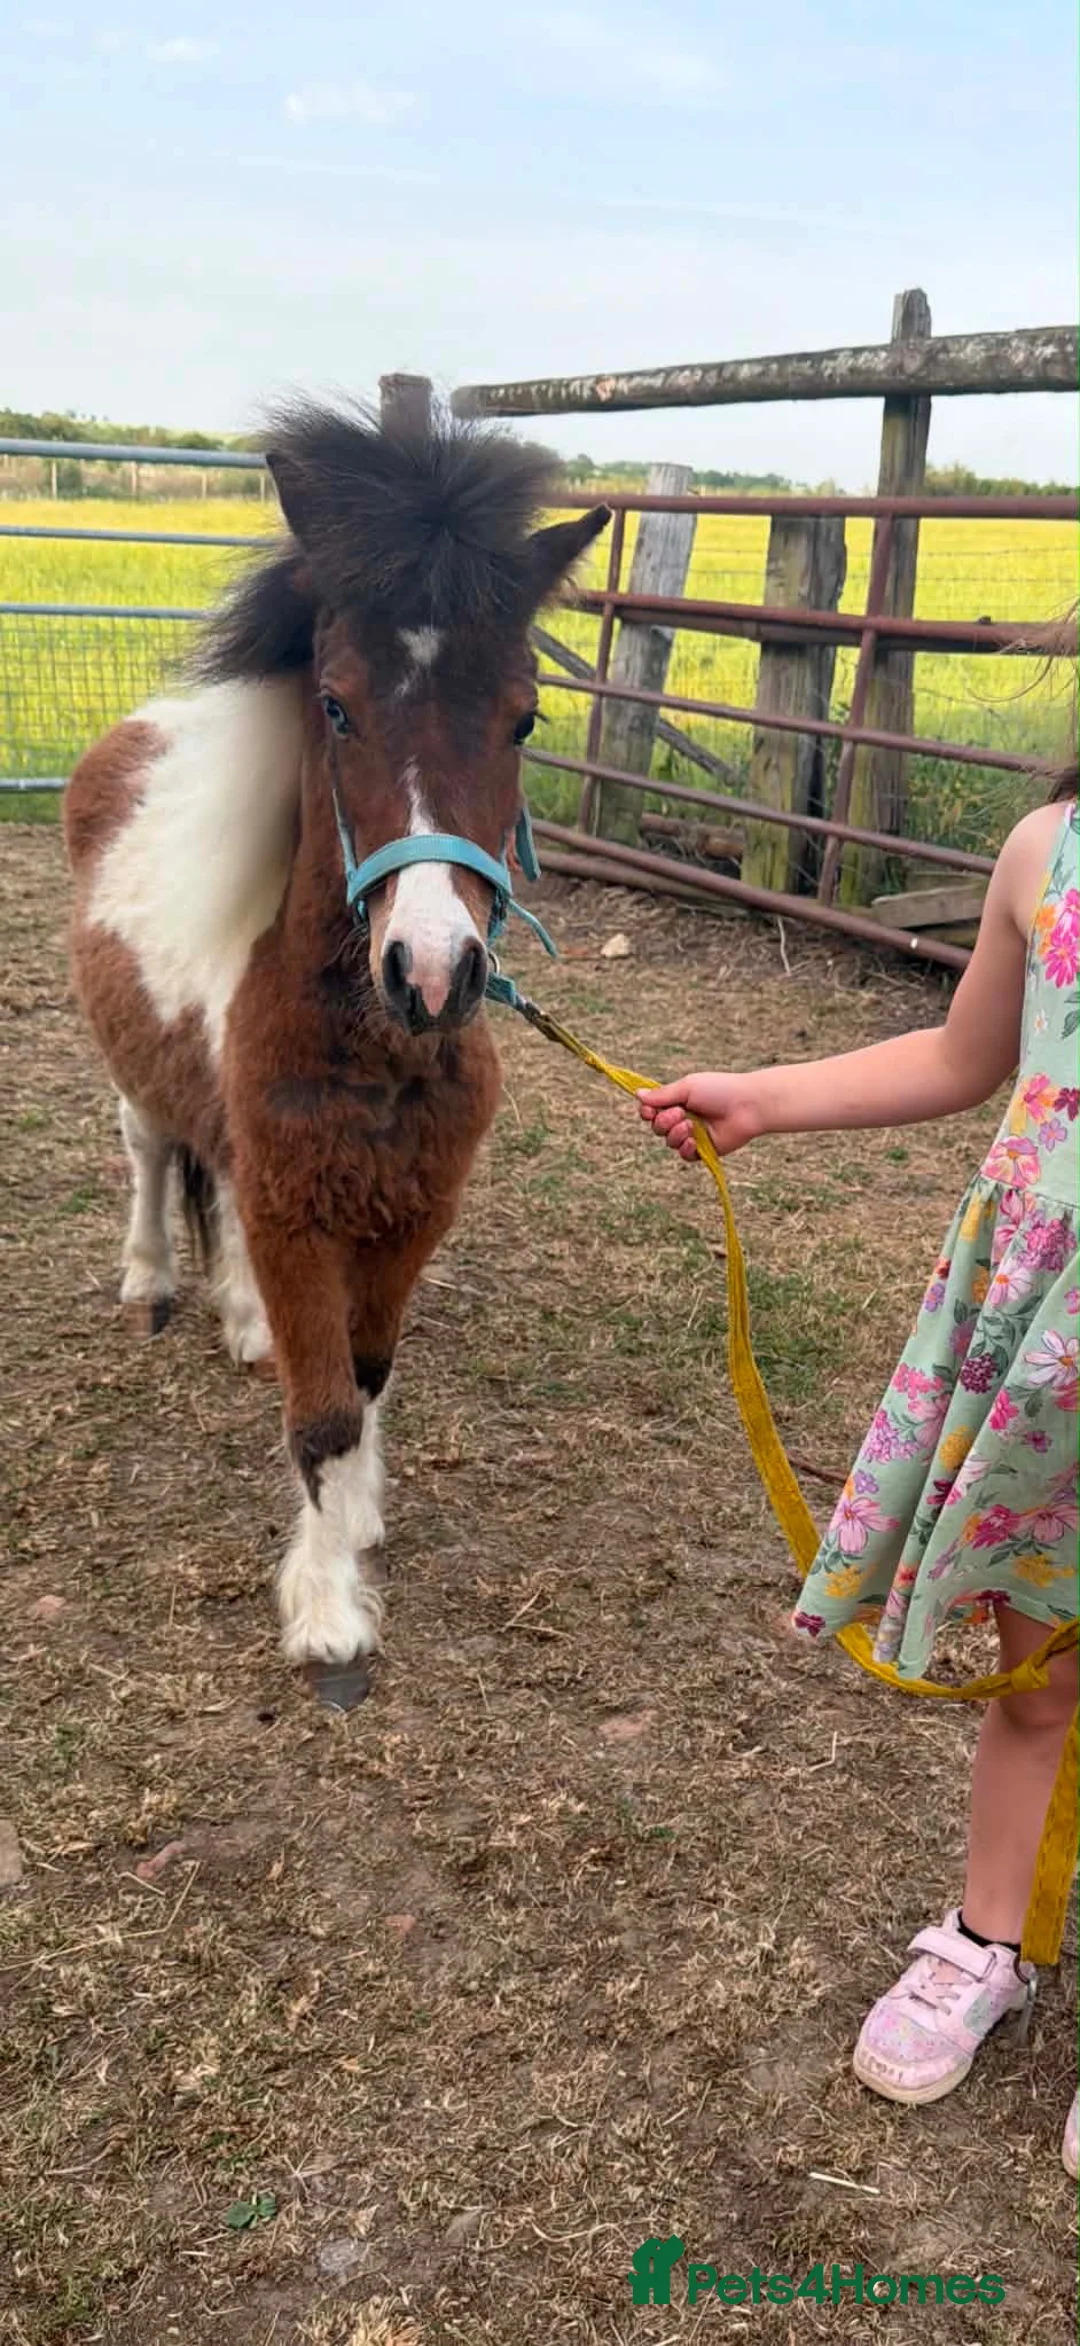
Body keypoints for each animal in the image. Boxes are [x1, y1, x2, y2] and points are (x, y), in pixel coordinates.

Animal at [64, 402, 610, 1703]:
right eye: (337, 707)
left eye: (524, 716)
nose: (433, 969)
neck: (375, 1053)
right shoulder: (294, 1207)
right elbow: (318, 1418)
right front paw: (326, 1614)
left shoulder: (409, 1211)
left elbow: (361, 1378)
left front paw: (356, 1521)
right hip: (136, 1077)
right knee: (151, 1155)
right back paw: (151, 1279)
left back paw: (244, 1320)